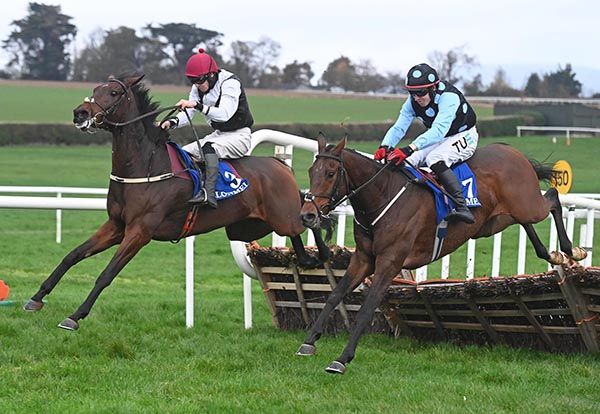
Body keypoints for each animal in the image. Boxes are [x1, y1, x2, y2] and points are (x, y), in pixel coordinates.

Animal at [22, 73, 328, 328]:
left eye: (113, 92)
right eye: (95, 90)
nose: (80, 113)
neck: (144, 166)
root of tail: (280, 165)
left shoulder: (140, 232)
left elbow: (106, 274)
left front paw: (75, 316)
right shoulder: (116, 226)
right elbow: (72, 255)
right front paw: (36, 297)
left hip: (282, 217)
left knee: (309, 222)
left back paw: (323, 254)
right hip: (253, 225)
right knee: (300, 236)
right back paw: (308, 259)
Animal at [296, 134, 584, 374]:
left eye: (331, 173)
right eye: (311, 171)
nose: (307, 215)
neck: (383, 196)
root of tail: (511, 150)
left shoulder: (390, 262)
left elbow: (367, 307)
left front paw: (342, 359)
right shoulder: (364, 258)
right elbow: (335, 295)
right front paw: (309, 342)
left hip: (527, 205)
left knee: (552, 197)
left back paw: (571, 250)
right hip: (496, 221)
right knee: (528, 222)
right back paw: (552, 254)